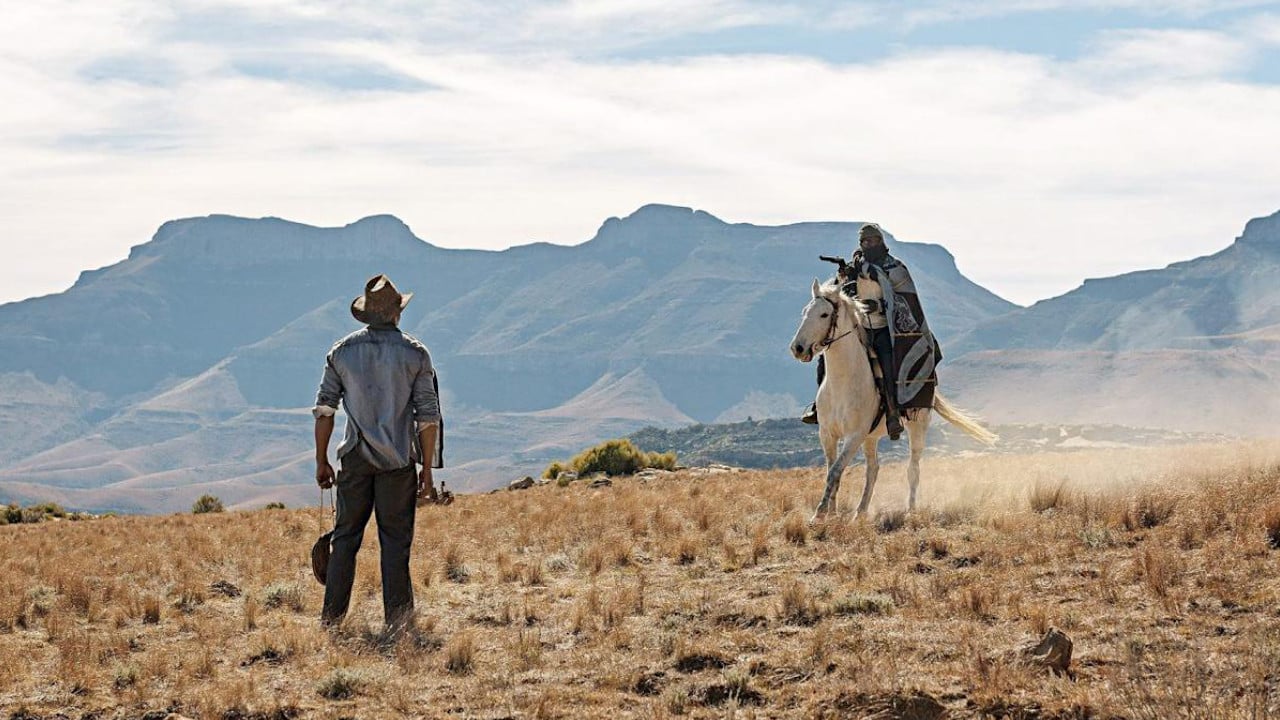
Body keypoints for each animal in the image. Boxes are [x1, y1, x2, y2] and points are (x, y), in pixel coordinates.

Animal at [783, 278, 993, 517]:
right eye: (804, 312)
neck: (843, 382)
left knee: (913, 469)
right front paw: (831, 512)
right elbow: (832, 471)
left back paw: (910, 510)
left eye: (824, 314)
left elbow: (836, 471)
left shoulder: (854, 435)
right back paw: (860, 512)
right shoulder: (827, 434)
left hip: (916, 426)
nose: (798, 348)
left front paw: (819, 513)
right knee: (873, 469)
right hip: (871, 437)